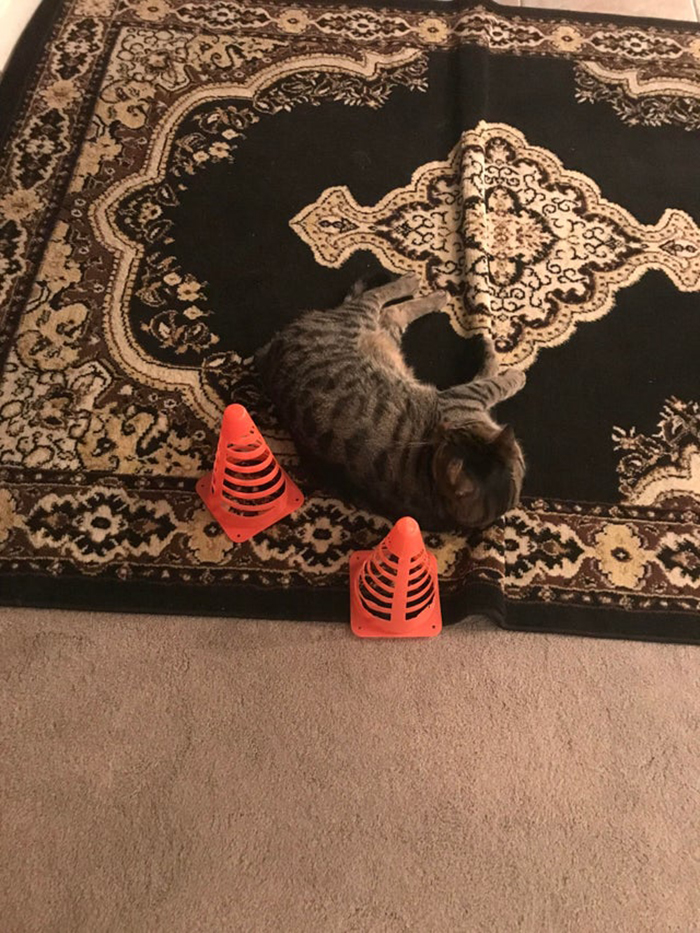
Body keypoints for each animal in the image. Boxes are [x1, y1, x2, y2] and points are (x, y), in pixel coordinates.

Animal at [256, 272, 524, 532]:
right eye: (447, 434)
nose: (440, 428)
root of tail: (271, 350)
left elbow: (487, 375)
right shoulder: (461, 397)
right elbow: (494, 382)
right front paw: (513, 371)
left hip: (385, 339)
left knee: (391, 312)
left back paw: (434, 295)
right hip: (357, 319)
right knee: (376, 296)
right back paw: (416, 284)